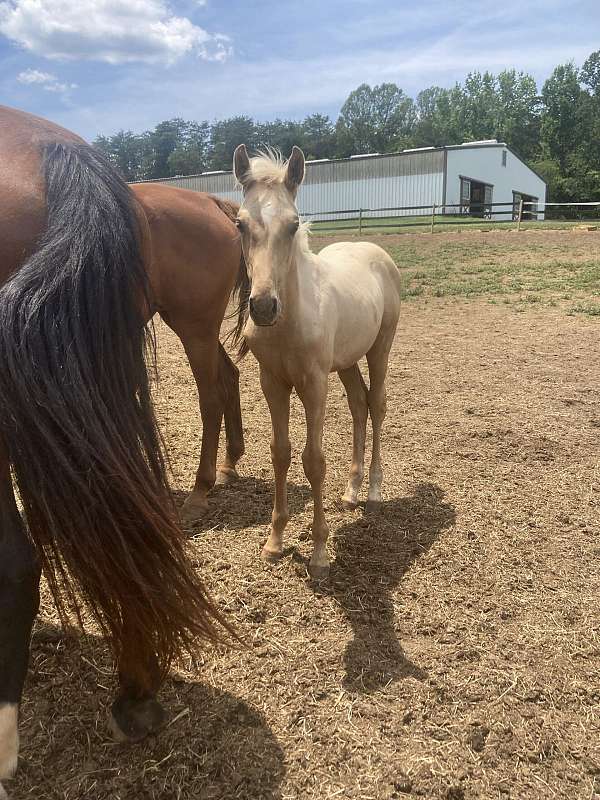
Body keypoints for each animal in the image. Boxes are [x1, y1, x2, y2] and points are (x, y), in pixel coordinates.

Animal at [232, 144, 402, 580]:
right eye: (240, 224)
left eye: (293, 225)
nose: (263, 307)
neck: (290, 320)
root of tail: (377, 253)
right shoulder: (272, 382)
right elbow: (281, 452)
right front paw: (274, 542)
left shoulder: (313, 383)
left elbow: (314, 461)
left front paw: (320, 554)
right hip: (346, 361)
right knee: (359, 404)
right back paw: (352, 492)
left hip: (380, 348)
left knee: (378, 405)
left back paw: (373, 491)